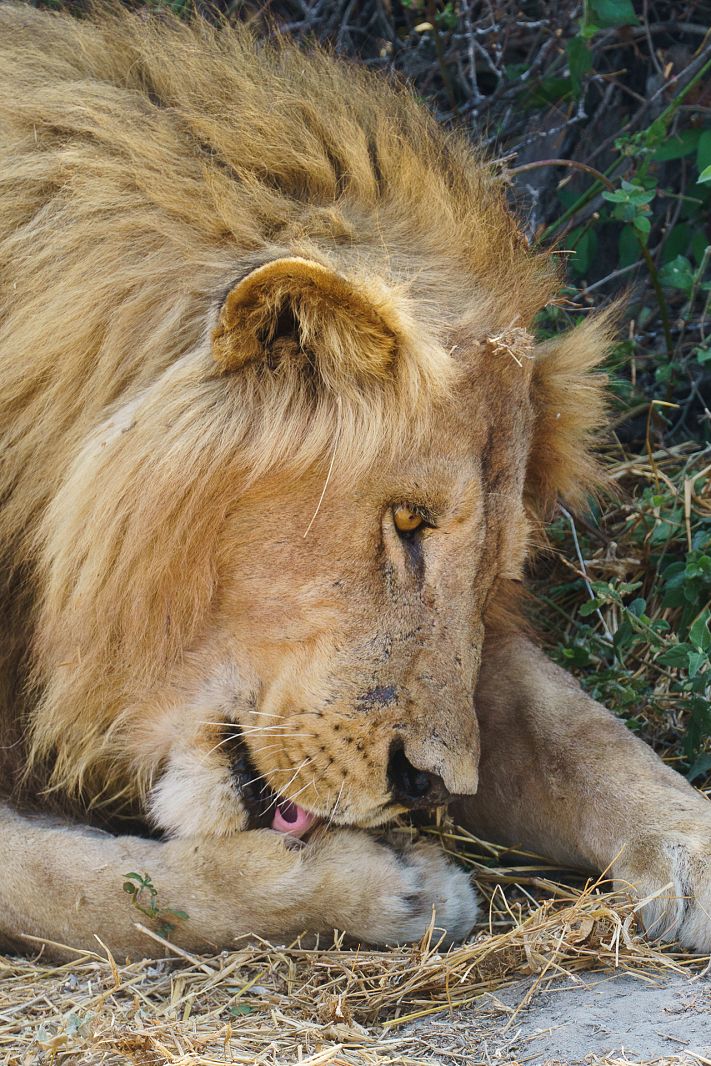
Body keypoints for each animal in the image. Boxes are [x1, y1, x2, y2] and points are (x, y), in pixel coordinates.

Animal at [1, 6, 711, 959]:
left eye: (491, 573)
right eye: (405, 522)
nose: (429, 787)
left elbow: (571, 728)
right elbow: (79, 886)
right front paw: (382, 886)